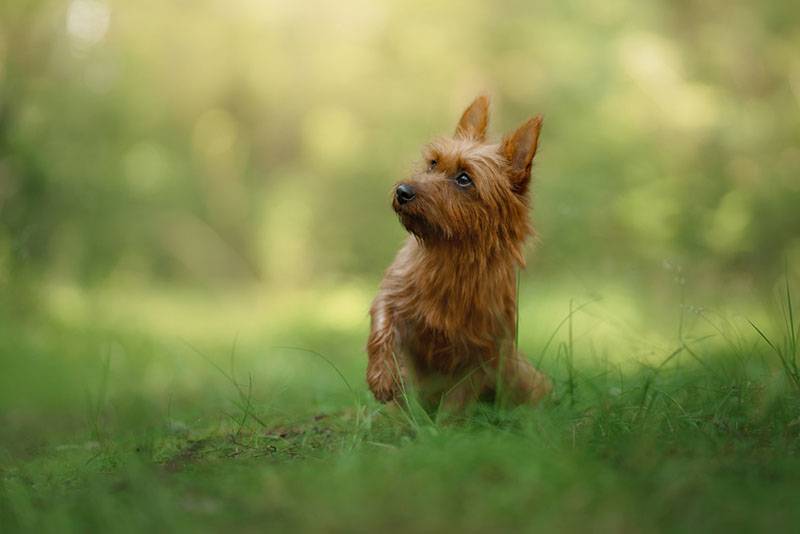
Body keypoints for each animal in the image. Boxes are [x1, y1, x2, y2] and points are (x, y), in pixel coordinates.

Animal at [368, 96, 552, 412]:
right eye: (433, 164)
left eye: (464, 179)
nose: (403, 191)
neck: (451, 255)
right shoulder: (393, 296)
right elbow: (383, 327)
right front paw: (382, 376)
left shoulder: (480, 354)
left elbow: (455, 405)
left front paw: (442, 426)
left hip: (522, 375)